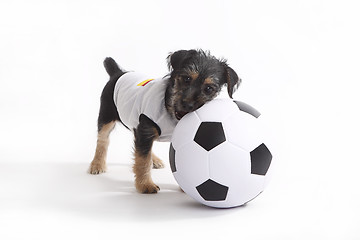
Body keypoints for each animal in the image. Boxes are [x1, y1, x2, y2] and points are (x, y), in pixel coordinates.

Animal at [89, 48, 240, 193]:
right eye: (186, 79)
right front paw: (145, 185)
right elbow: (142, 160)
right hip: (106, 116)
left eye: (209, 89)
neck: (168, 108)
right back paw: (97, 164)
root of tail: (118, 73)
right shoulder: (145, 128)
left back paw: (154, 160)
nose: (188, 105)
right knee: (103, 140)